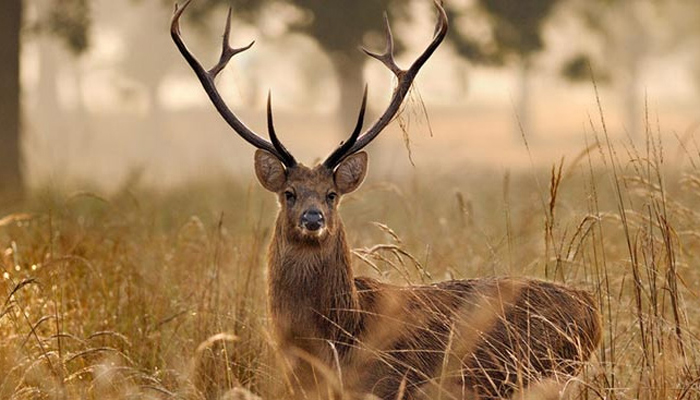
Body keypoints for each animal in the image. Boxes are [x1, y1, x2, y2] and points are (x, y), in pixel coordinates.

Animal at [171, 1, 600, 398]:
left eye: (332, 194)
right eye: (288, 193)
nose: (313, 218)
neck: (333, 341)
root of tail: (591, 310)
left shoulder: (389, 385)